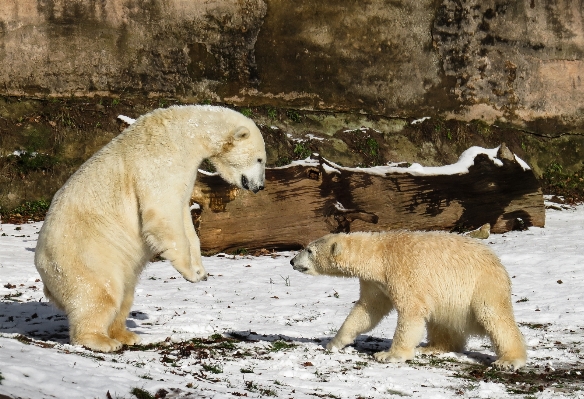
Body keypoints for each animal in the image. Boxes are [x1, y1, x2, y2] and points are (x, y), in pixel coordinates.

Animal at [34, 105, 266, 354]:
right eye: (260, 159)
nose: (260, 186)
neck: (185, 133)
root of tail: (44, 272)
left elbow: (185, 218)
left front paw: (201, 271)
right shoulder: (160, 163)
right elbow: (163, 211)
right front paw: (190, 273)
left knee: (125, 293)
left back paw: (126, 334)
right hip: (86, 254)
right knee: (100, 292)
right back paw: (102, 340)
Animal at [290, 231, 528, 372]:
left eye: (309, 250)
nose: (292, 261)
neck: (380, 255)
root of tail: (498, 262)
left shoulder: (404, 271)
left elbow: (411, 311)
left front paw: (389, 355)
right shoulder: (376, 283)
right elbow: (367, 310)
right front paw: (334, 342)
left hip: (482, 285)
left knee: (493, 316)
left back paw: (508, 360)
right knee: (441, 321)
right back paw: (431, 348)